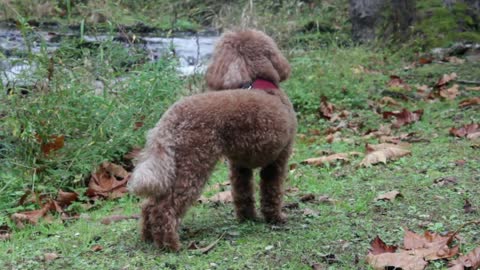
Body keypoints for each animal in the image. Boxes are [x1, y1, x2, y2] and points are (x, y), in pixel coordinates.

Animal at [129, 29, 298, 251]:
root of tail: (170, 119)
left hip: (177, 163)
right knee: (165, 207)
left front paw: (248, 218)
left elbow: (243, 194)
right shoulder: (278, 159)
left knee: (150, 204)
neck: (258, 83)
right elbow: (272, 192)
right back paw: (171, 245)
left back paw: (149, 237)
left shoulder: (239, 165)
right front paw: (276, 218)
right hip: (194, 163)